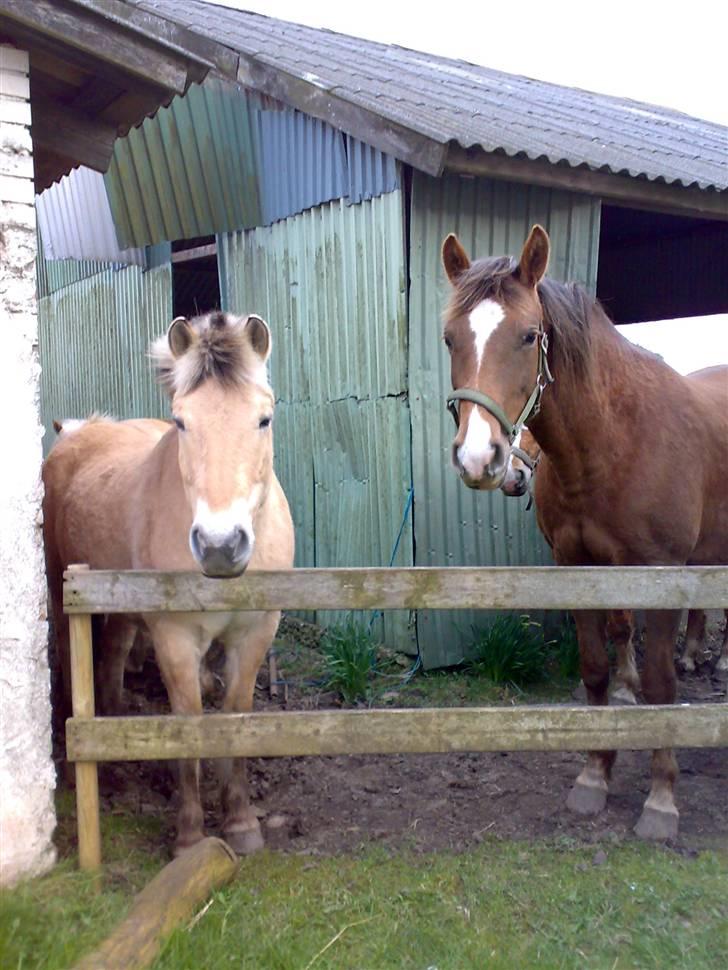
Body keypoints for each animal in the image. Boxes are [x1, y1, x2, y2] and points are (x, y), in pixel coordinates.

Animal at [44, 310, 294, 856]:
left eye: (263, 419)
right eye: (181, 421)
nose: (220, 544)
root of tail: (79, 436)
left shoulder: (255, 633)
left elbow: (236, 717)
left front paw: (240, 822)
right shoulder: (175, 638)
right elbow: (188, 725)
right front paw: (190, 834)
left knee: (112, 662)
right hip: (61, 594)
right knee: (75, 665)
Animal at [444, 229, 728, 840]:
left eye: (529, 336)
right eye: (450, 337)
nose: (480, 458)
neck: (613, 441)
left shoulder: (660, 574)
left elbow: (661, 688)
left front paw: (661, 801)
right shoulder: (576, 568)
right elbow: (597, 670)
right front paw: (594, 776)